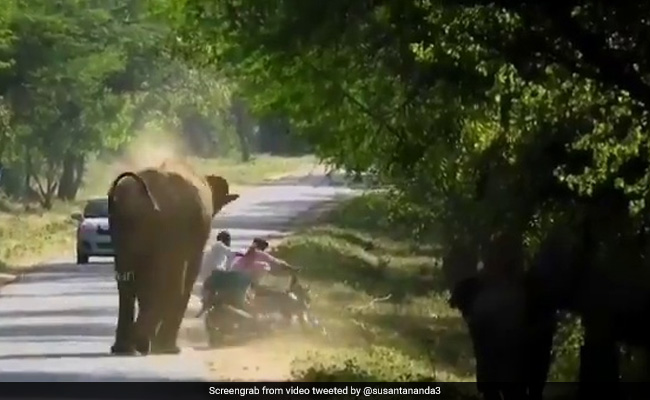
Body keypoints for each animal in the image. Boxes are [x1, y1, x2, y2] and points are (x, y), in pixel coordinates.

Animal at [107, 160, 239, 356]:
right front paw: (166, 348)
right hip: (170, 225)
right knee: (168, 280)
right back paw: (149, 345)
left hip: (124, 227)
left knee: (127, 281)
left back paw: (126, 348)